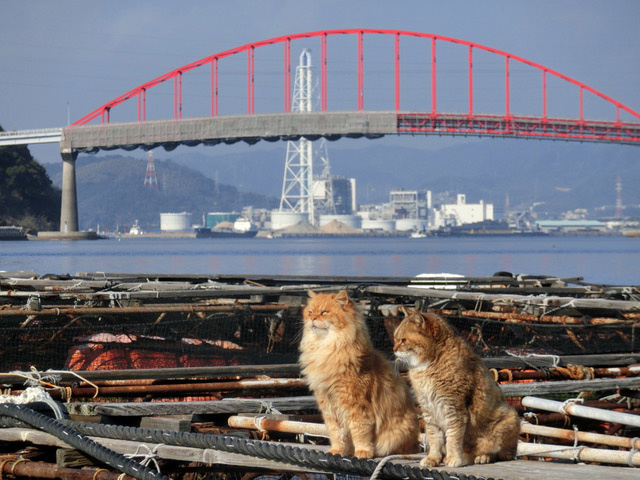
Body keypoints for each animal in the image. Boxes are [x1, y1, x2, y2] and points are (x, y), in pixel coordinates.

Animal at [300, 288, 420, 458]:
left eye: (324, 312)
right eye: (310, 312)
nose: (313, 318)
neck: (327, 349)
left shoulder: (356, 404)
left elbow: (360, 432)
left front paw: (362, 452)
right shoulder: (328, 405)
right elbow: (337, 433)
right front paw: (337, 451)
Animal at [392, 308, 524, 468]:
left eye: (403, 340)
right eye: (395, 339)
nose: (393, 349)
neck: (429, 365)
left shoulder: (453, 408)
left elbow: (453, 438)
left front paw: (453, 458)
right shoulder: (429, 409)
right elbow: (434, 438)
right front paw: (433, 459)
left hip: (510, 418)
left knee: (500, 453)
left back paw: (482, 456)